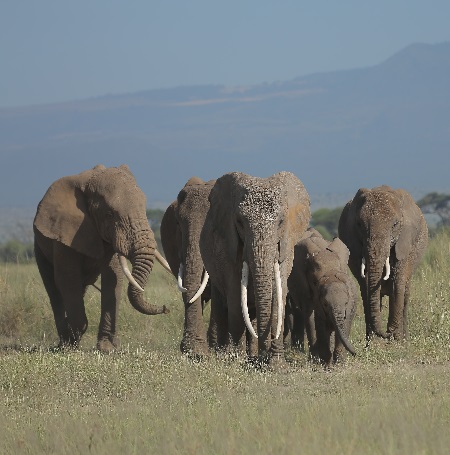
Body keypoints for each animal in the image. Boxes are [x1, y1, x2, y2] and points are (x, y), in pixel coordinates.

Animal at [33, 165, 171, 352]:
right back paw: (64, 342)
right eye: (110, 214)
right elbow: (67, 279)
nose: (166, 308)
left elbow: (113, 277)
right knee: (54, 288)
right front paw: (72, 342)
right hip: (39, 245)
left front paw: (107, 348)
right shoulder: (64, 233)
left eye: (144, 207)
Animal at [199, 171, 312, 366]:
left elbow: (278, 296)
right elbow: (236, 299)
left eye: (281, 222)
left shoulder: (286, 247)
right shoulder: (229, 248)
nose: (265, 355)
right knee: (222, 306)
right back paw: (225, 354)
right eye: (240, 222)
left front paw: (274, 363)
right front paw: (236, 360)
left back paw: (251, 355)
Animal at [286, 230, 356, 366]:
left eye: (346, 303)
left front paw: (338, 365)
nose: (356, 353)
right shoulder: (304, 287)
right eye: (314, 282)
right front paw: (319, 361)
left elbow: (344, 323)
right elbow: (312, 317)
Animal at [338, 185, 428, 342]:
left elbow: (398, 283)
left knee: (405, 293)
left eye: (395, 225)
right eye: (359, 224)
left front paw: (396, 340)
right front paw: (375, 343)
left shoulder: (405, 242)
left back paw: (404, 340)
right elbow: (366, 286)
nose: (387, 333)